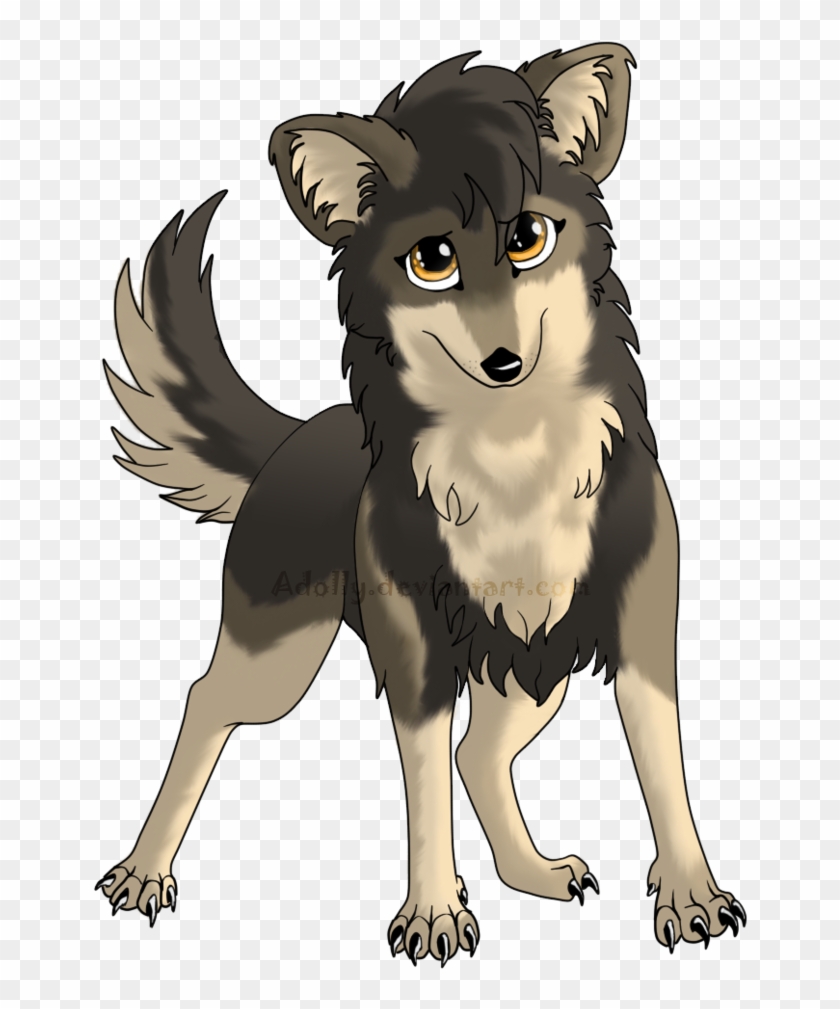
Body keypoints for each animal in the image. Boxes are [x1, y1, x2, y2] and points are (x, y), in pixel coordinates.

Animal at [96, 46, 746, 962]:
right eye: (431, 259)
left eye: (527, 238)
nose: (504, 361)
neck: (513, 454)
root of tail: (296, 435)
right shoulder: (417, 654)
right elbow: (425, 784)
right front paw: (434, 912)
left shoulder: (639, 630)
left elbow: (664, 770)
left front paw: (691, 893)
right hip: (278, 655)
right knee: (205, 703)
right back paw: (144, 869)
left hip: (533, 669)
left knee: (479, 752)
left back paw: (532, 871)